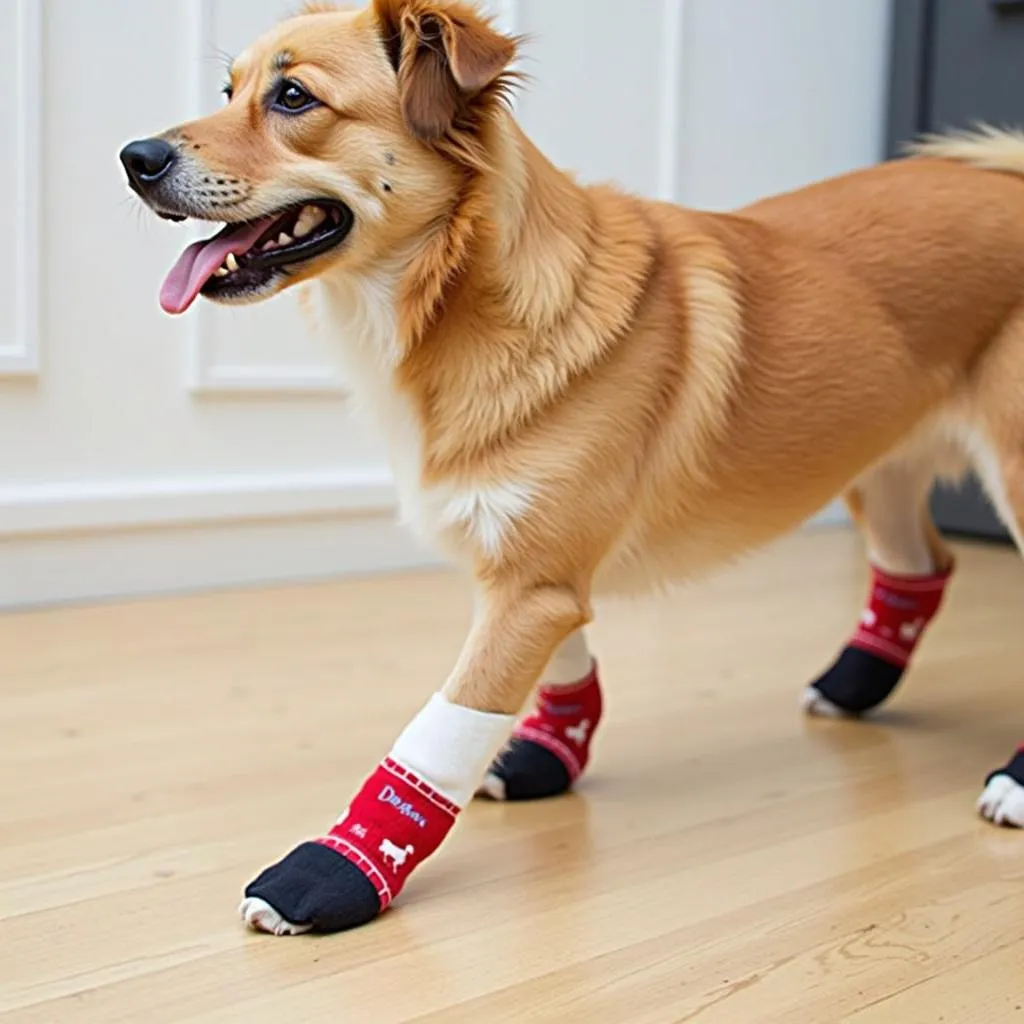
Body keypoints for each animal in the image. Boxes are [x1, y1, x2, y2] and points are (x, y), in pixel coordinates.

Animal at [123, 0, 1024, 937]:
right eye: (229, 90)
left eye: (294, 97)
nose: (134, 159)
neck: (460, 300)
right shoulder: (525, 568)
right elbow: (556, 663)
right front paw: (553, 750)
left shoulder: (531, 584)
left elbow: (445, 723)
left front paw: (334, 869)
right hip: (876, 463)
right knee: (922, 562)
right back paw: (855, 684)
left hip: (1011, 470)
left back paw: (1013, 782)